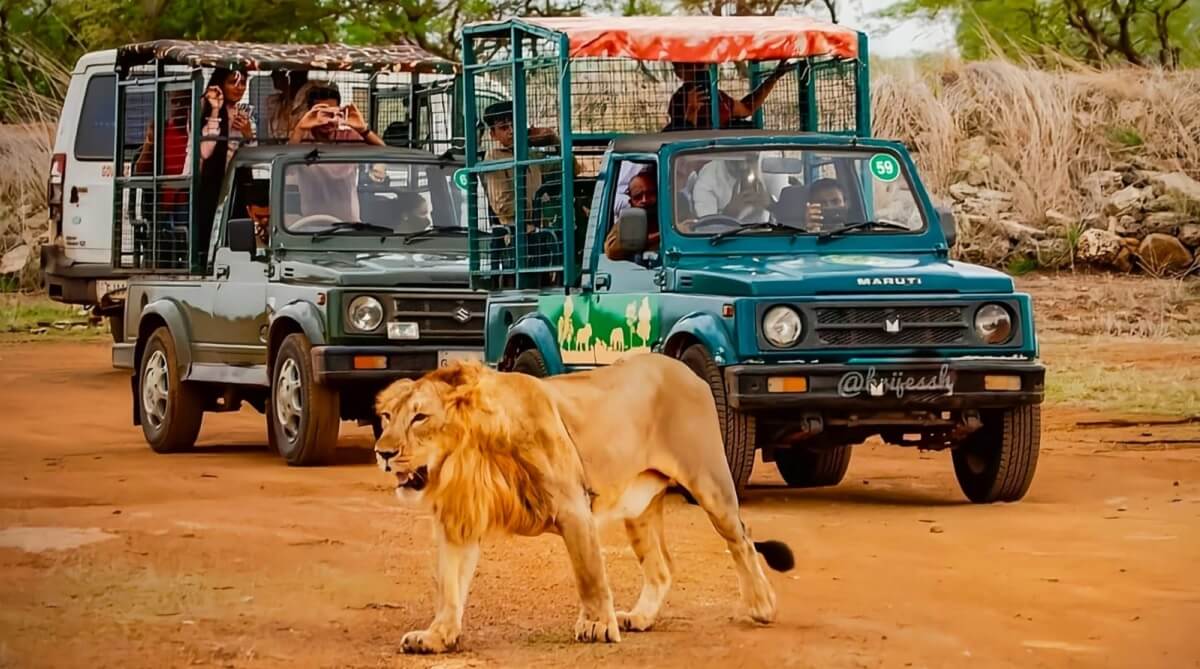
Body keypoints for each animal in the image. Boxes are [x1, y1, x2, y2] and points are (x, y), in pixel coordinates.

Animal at [372, 353, 794, 654]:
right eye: (387, 416)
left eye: (420, 417)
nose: (383, 453)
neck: (466, 456)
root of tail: (687, 371)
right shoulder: (458, 520)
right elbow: (448, 586)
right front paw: (436, 637)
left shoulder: (572, 505)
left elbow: (589, 572)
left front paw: (596, 625)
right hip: (639, 507)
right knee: (662, 567)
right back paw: (640, 617)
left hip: (710, 481)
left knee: (741, 539)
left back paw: (762, 606)